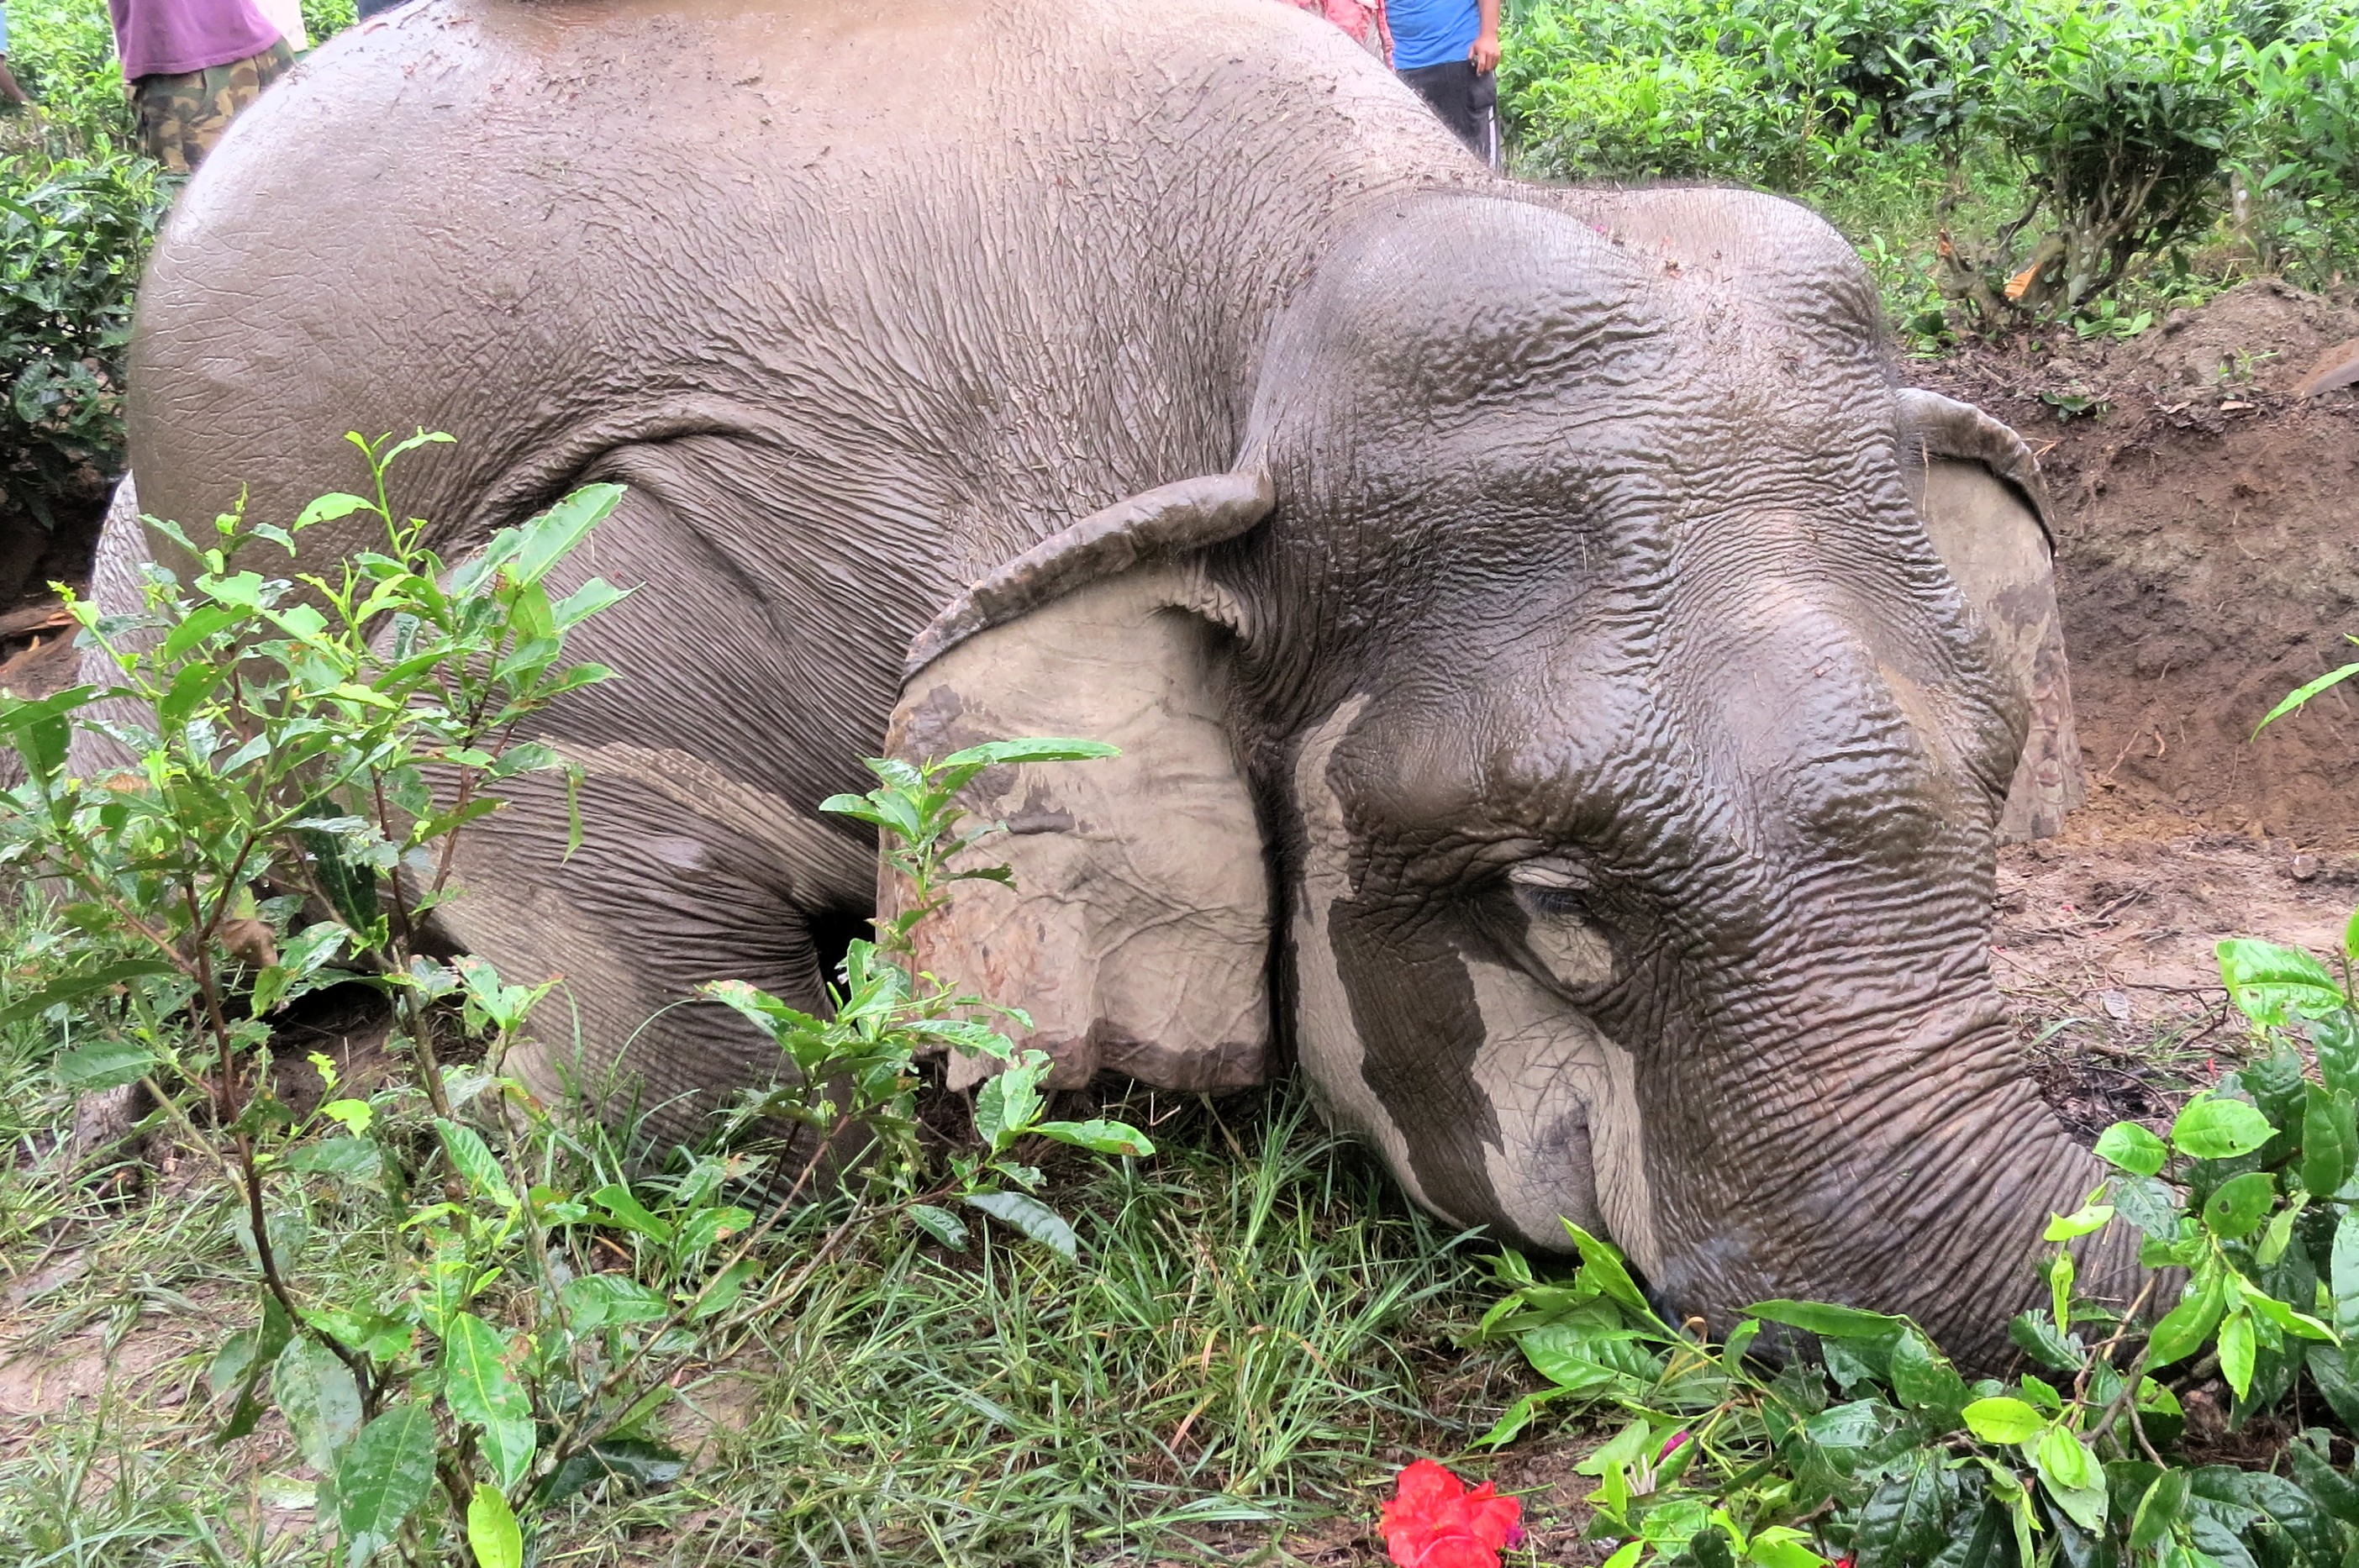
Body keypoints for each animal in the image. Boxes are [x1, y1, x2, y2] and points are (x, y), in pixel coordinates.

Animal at [99, 0, 2121, 1360]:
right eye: (1555, 903)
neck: (1276, 289)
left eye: (1996, 778)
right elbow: (511, 729)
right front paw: (471, 1123)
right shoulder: (818, 517)